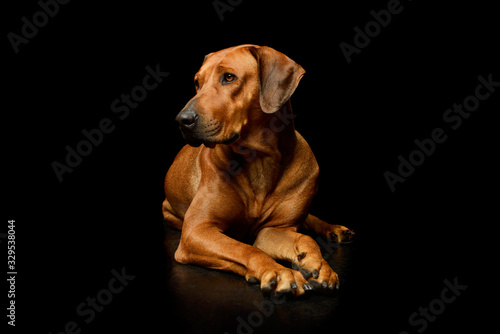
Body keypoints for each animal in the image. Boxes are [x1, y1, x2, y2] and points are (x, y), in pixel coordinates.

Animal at [162, 43, 354, 294]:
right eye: (197, 82)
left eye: (229, 77)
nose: (182, 120)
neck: (260, 159)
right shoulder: (196, 230)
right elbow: (246, 248)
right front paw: (279, 271)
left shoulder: (275, 229)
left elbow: (305, 239)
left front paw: (319, 264)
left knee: (307, 221)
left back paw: (334, 229)